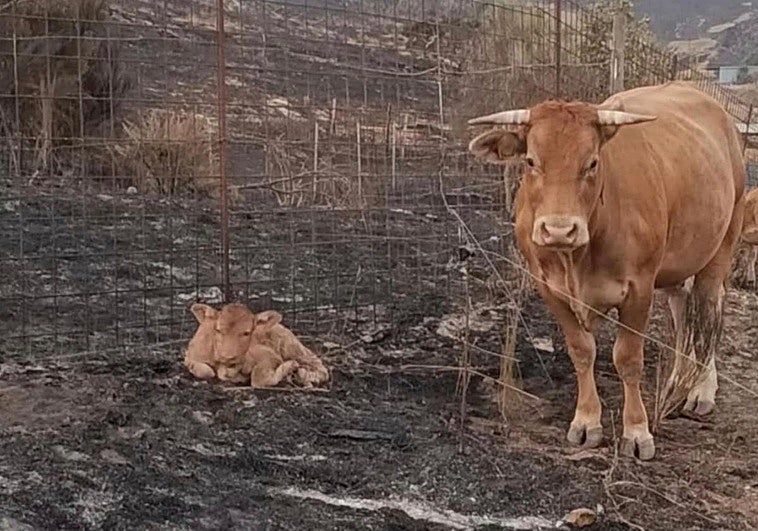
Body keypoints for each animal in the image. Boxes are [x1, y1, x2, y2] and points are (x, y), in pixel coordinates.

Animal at [467, 81, 745, 460]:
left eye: (593, 162)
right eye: (531, 161)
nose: (559, 230)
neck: (578, 258)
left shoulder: (638, 289)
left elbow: (627, 358)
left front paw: (637, 431)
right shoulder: (549, 288)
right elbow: (582, 351)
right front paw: (587, 422)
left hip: (721, 245)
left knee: (709, 310)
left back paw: (700, 389)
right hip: (680, 261)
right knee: (683, 310)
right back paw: (677, 381)